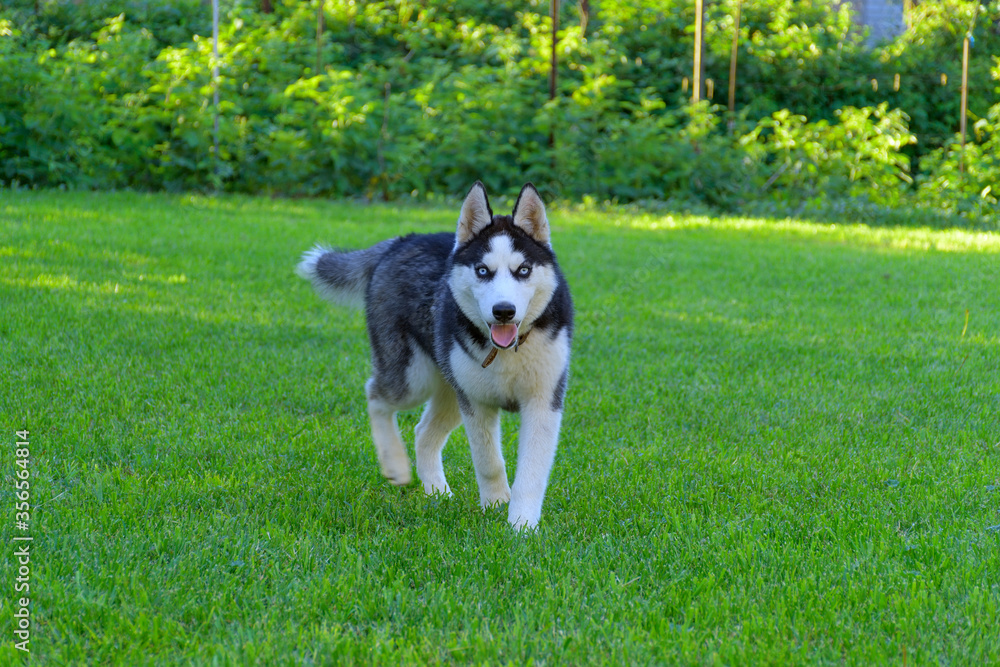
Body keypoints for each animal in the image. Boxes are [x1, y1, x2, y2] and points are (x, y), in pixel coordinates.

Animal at [294, 184, 572, 532]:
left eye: (523, 270)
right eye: (483, 271)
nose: (504, 311)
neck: (507, 352)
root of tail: (402, 240)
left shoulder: (544, 401)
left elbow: (531, 472)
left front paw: (521, 525)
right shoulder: (476, 403)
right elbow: (489, 460)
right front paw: (496, 504)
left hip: (450, 389)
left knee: (422, 432)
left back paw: (437, 492)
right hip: (415, 380)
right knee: (375, 394)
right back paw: (397, 465)